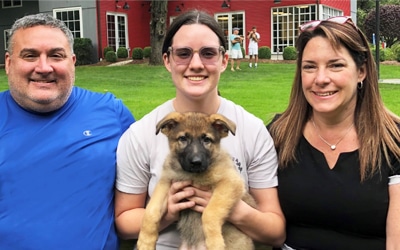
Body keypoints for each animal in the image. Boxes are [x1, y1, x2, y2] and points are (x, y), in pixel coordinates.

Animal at [136, 112, 255, 250]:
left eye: (207, 140)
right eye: (183, 138)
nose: (196, 162)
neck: (191, 175)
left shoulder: (230, 182)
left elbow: (209, 212)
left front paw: (214, 242)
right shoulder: (165, 183)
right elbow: (151, 211)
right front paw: (145, 241)